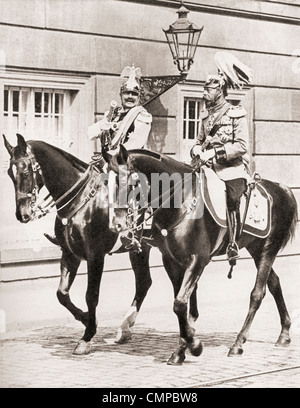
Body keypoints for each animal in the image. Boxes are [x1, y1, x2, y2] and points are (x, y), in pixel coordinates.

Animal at [3, 134, 157, 354]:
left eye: (24, 171)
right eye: (9, 172)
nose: (22, 214)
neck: (82, 200)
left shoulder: (95, 256)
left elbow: (91, 295)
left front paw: (88, 335)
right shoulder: (69, 254)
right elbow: (62, 294)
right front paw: (85, 318)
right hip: (140, 248)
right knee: (144, 282)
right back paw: (125, 329)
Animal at [105, 147, 298, 366]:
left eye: (129, 182)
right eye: (106, 183)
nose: (117, 225)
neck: (181, 202)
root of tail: (283, 189)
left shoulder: (198, 260)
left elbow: (180, 303)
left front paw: (194, 345)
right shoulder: (171, 261)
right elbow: (181, 304)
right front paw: (183, 348)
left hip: (268, 249)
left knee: (257, 294)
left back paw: (238, 343)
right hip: (256, 249)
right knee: (274, 283)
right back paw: (284, 333)